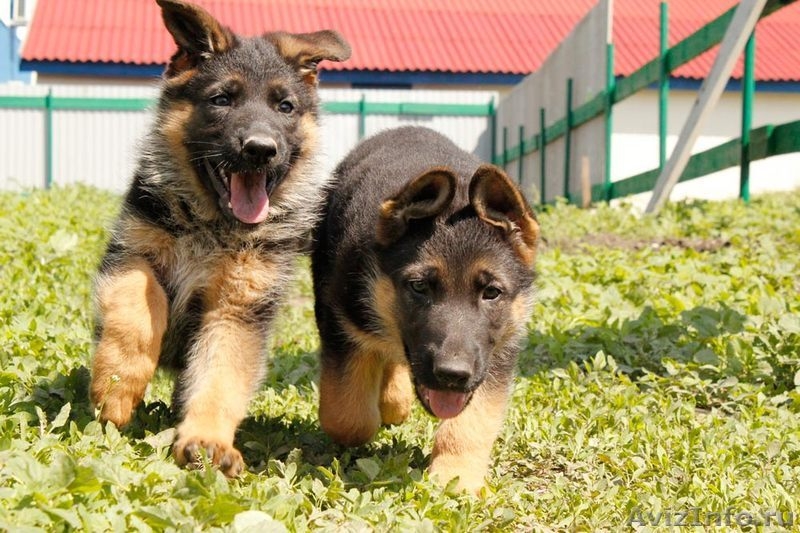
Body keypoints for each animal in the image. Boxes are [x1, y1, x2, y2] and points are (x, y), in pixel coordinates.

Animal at [89, 0, 348, 474]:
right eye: (221, 100)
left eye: (285, 107)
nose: (260, 150)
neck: (210, 225)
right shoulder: (132, 254)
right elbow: (137, 310)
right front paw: (116, 388)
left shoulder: (238, 309)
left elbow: (222, 376)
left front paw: (206, 441)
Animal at [310, 124, 536, 490]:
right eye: (419, 287)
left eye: (491, 293)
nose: (452, 376)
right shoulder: (342, 323)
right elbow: (347, 417)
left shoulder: (495, 356)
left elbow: (470, 425)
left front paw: (456, 476)